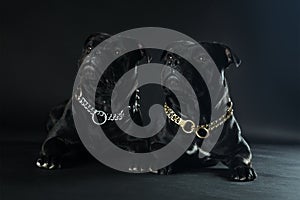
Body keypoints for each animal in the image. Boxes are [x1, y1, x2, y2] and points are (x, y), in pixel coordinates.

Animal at [36, 32, 256, 181]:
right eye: (90, 47)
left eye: (202, 58)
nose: (176, 60)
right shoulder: (58, 136)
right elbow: (52, 143)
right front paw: (49, 158)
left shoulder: (241, 148)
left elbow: (242, 158)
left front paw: (243, 169)